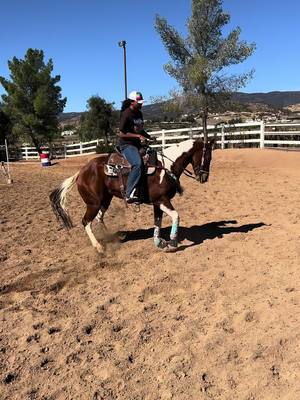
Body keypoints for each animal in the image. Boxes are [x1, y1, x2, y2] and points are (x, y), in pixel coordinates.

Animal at [49, 139, 213, 253]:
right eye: (207, 157)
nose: (204, 178)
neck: (166, 167)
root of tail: (80, 172)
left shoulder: (157, 203)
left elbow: (157, 222)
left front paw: (159, 242)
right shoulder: (162, 200)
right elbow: (176, 216)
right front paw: (172, 243)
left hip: (105, 200)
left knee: (99, 218)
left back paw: (113, 238)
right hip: (93, 203)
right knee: (86, 222)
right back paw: (99, 247)